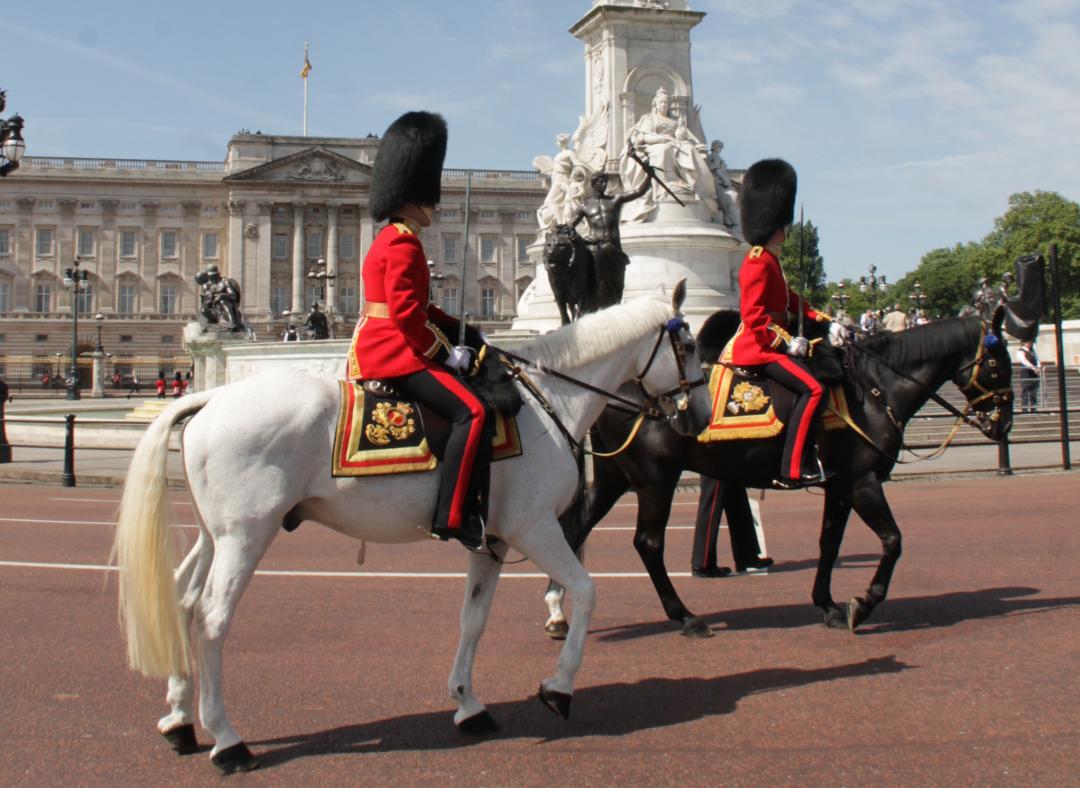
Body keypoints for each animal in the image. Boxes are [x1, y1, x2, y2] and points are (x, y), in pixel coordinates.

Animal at [113, 280, 712, 768]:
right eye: (688, 346)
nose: (701, 419)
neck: (550, 401)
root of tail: (209, 396)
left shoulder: (491, 539)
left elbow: (473, 620)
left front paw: (468, 704)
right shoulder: (534, 527)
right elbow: (586, 592)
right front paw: (558, 689)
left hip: (216, 535)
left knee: (181, 599)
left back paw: (179, 721)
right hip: (246, 535)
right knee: (212, 617)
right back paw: (226, 740)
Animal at [548, 304, 1010, 630]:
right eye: (996, 363)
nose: (1002, 425)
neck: (876, 388)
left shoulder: (839, 484)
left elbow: (829, 543)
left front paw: (827, 604)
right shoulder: (862, 482)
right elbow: (893, 540)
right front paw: (862, 603)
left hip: (617, 476)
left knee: (577, 528)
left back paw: (557, 609)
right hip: (655, 477)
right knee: (647, 543)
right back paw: (685, 616)